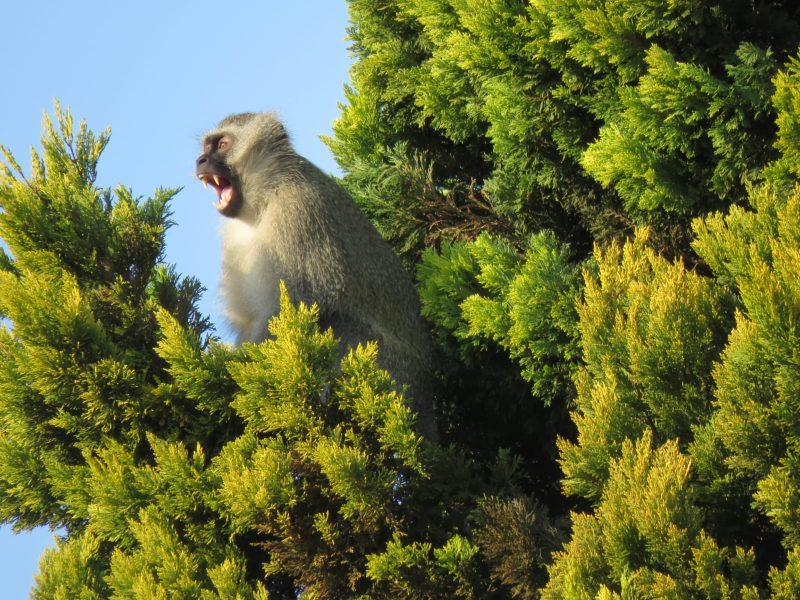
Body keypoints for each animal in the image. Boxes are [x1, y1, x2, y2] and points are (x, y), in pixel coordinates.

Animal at [195, 112, 437, 440]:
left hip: (394, 375)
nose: (201, 160)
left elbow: (303, 301)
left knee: (339, 322)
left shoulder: (299, 210)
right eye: (206, 148)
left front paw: (234, 364)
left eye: (222, 144)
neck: (265, 198)